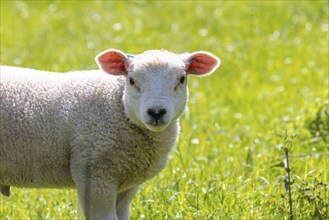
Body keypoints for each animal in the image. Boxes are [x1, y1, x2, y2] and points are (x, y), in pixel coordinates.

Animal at [0, 49, 220, 219]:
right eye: (131, 80)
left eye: (182, 79)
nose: (156, 112)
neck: (118, 106)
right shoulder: (95, 175)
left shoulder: (126, 185)